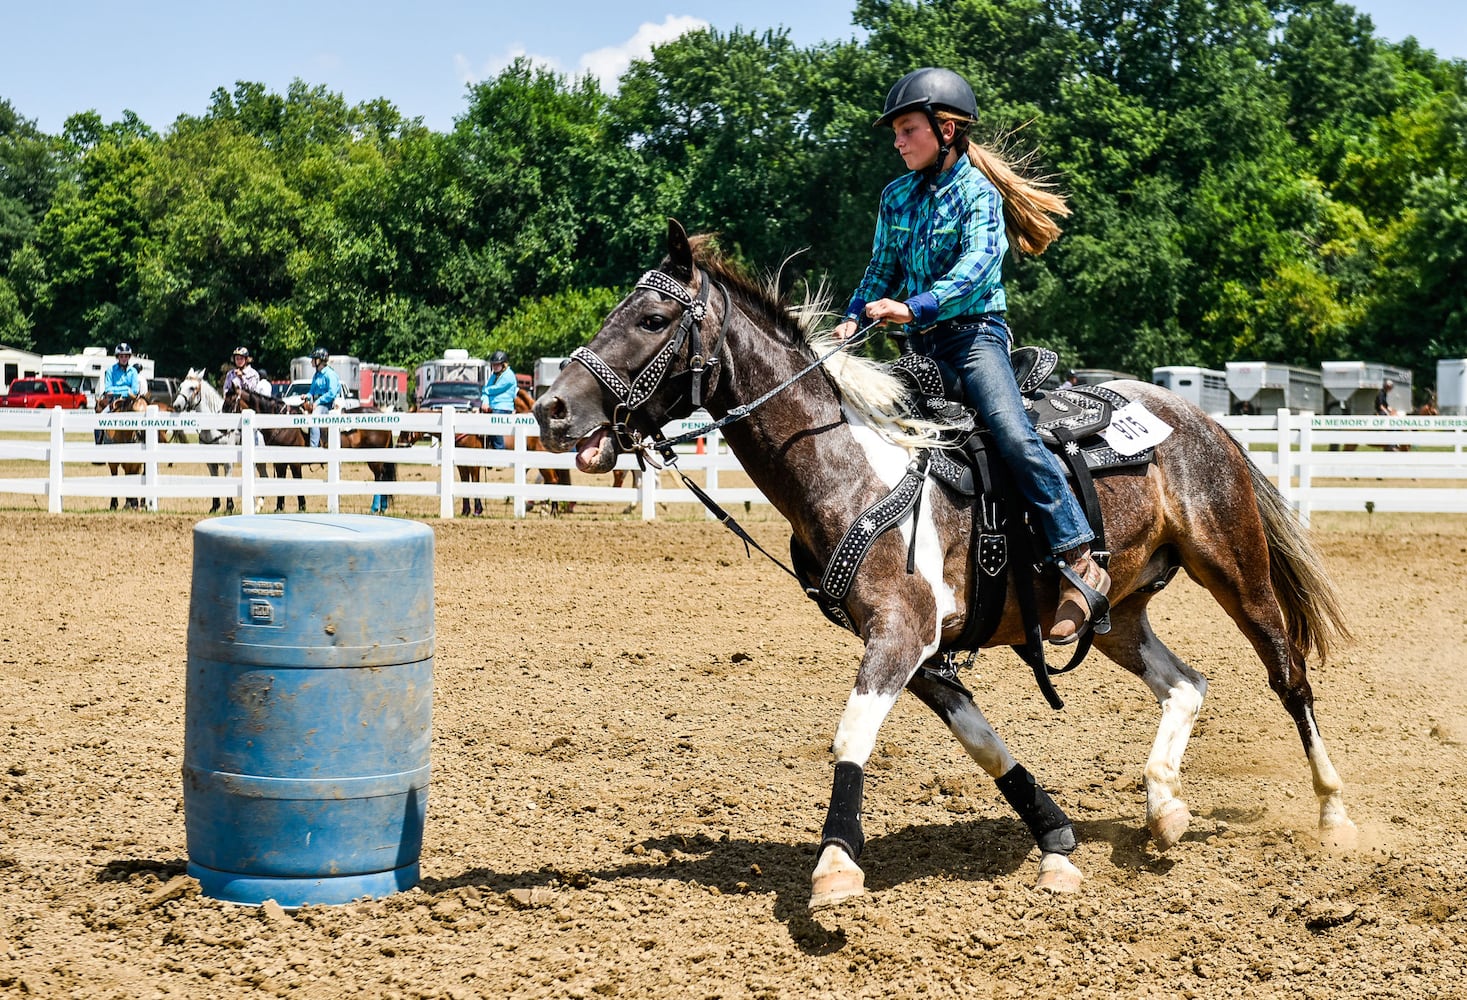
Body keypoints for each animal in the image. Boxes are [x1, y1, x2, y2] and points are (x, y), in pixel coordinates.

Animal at [533, 221, 1355, 909]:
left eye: (650, 319)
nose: (550, 409)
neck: (856, 468)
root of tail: (1199, 420)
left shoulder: (903, 632)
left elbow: (850, 738)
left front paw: (836, 867)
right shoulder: (924, 655)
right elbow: (984, 746)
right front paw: (1056, 844)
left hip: (1236, 571)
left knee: (1289, 677)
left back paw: (1334, 814)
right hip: (1114, 614)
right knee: (1186, 684)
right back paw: (1164, 806)